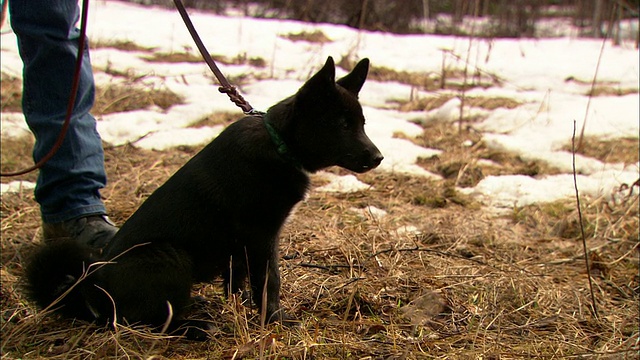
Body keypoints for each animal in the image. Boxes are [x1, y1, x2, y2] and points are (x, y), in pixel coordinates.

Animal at [25, 57, 382, 340]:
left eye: (363, 124)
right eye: (342, 125)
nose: (378, 158)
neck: (279, 143)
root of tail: (95, 295)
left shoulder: (241, 246)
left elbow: (237, 281)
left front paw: (238, 308)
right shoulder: (262, 236)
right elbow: (270, 282)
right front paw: (274, 320)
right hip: (171, 256)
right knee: (141, 321)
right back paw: (193, 328)